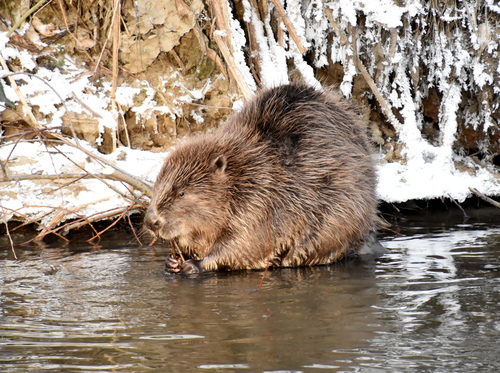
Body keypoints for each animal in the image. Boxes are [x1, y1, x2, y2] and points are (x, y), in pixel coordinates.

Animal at [144, 83, 378, 272]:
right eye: (157, 187)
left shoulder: (259, 202)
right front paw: (172, 262)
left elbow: (246, 244)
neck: (246, 169)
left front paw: (193, 265)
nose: (151, 221)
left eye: (182, 193)